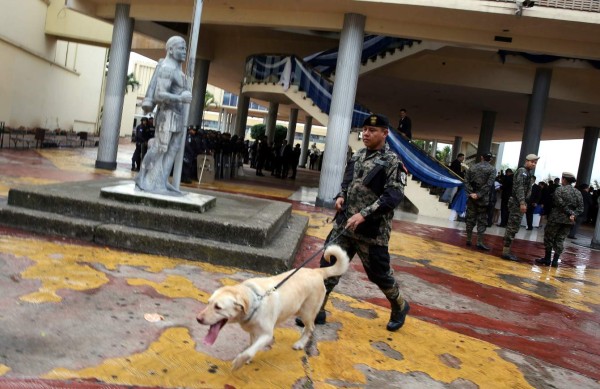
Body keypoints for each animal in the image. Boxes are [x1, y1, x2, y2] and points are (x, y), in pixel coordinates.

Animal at [197, 244, 346, 368]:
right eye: (208, 303)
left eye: (218, 307)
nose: (198, 319)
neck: (255, 301)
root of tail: (317, 271)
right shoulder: (253, 332)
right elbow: (251, 346)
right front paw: (246, 359)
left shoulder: (267, 335)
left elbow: (249, 351)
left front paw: (239, 361)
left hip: (307, 312)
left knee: (311, 328)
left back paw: (300, 343)